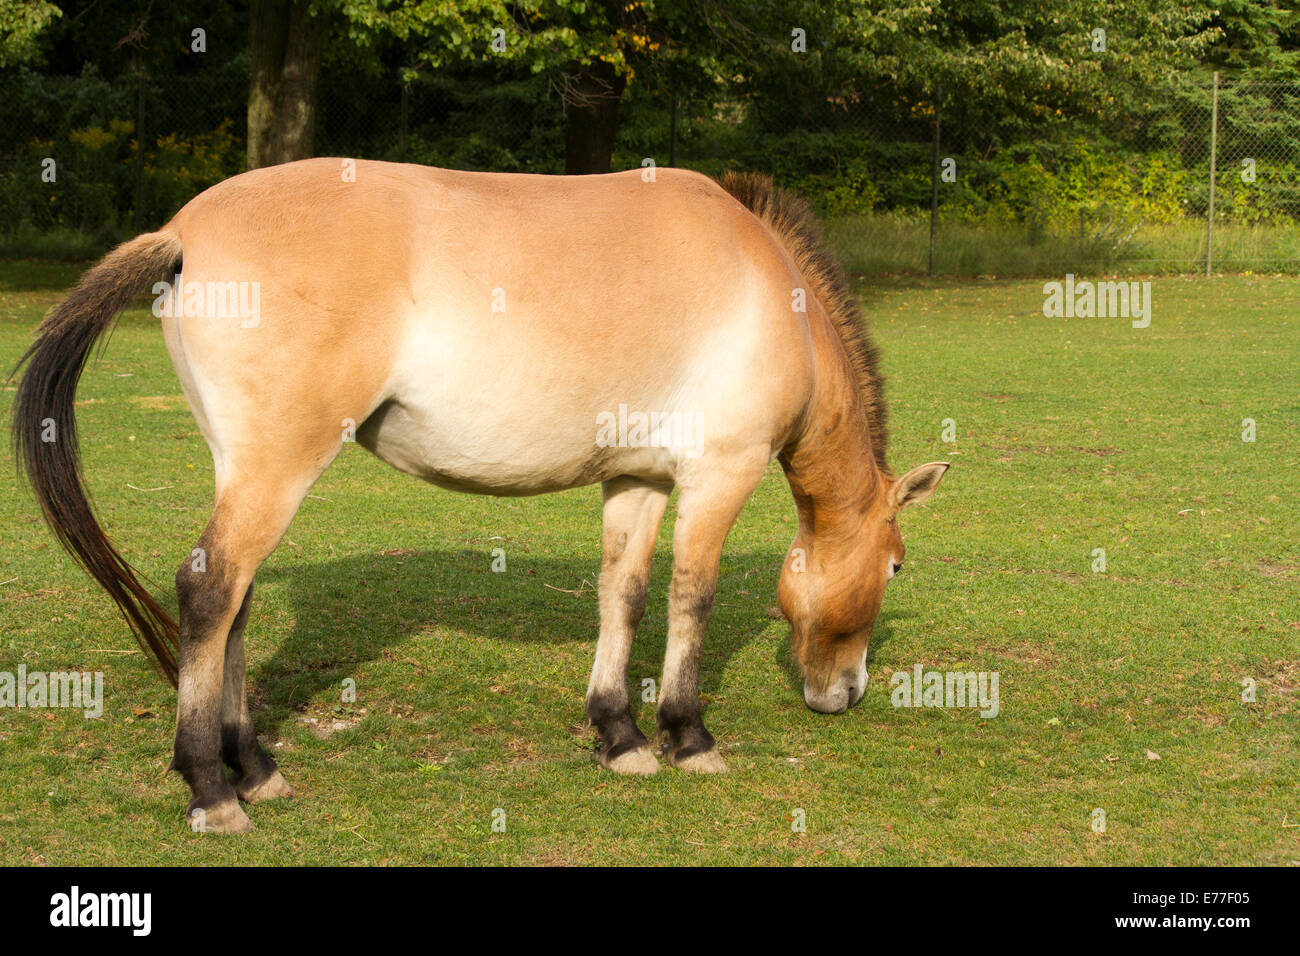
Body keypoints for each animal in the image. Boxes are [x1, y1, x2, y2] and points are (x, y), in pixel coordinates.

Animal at [10, 160, 946, 832]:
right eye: (896, 567)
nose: (845, 693)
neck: (775, 292)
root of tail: (183, 230)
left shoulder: (638, 479)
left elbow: (625, 595)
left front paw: (619, 736)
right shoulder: (720, 472)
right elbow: (693, 596)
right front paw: (686, 737)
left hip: (244, 469)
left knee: (233, 603)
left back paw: (258, 771)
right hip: (277, 469)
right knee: (210, 592)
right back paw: (212, 790)